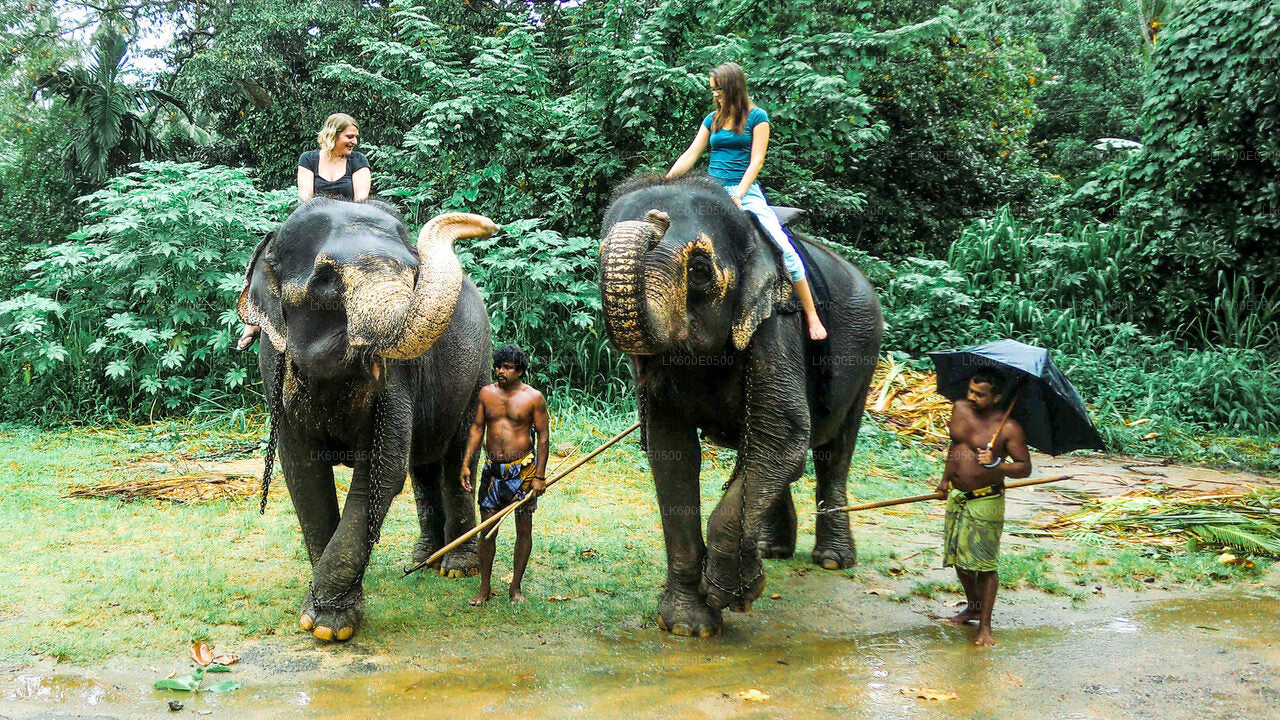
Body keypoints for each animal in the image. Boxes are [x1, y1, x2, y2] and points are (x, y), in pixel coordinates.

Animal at [238, 198, 495, 642]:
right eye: (325, 280)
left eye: (414, 273)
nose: (489, 225)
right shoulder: (275, 368)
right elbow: (303, 473)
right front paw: (325, 616)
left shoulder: (397, 377)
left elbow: (381, 471)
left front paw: (327, 625)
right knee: (423, 464)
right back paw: (424, 559)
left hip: (479, 365)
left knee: (456, 457)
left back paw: (456, 568)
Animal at [598, 175, 883, 637]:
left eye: (699, 270)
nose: (656, 220)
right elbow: (673, 453)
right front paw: (688, 626)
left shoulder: (776, 324)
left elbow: (781, 434)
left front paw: (731, 594)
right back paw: (771, 549)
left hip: (866, 355)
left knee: (832, 450)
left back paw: (832, 560)